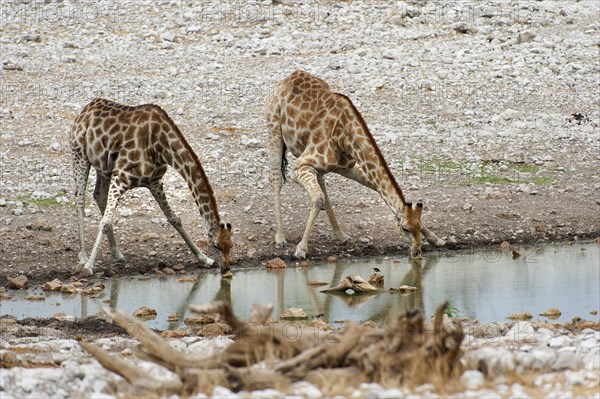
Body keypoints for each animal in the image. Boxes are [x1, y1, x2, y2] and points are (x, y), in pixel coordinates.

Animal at [69, 98, 231, 276]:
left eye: (231, 244)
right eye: (216, 245)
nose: (226, 269)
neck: (162, 147)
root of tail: (85, 110)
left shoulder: (154, 182)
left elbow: (174, 218)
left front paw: (204, 258)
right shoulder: (120, 176)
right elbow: (104, 222)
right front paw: (89, 266)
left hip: (103, 167)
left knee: (99, 195)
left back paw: (117, 253)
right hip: (80, 155)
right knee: (80, 200)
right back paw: (83, 256)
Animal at [268, 70, 446, 260]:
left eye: (418, 225)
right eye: (405, 228)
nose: (417, 253)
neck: (344, 137)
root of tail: (287, 78)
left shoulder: (347, 167)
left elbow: (376, 189)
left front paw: (436, 238)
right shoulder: (299, 166)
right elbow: (317, 199)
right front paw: (301, 249)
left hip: (315, 163)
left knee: (321, 185)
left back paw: (341, 235)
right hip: (273, 129)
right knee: (277, 179)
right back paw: (280, 238)